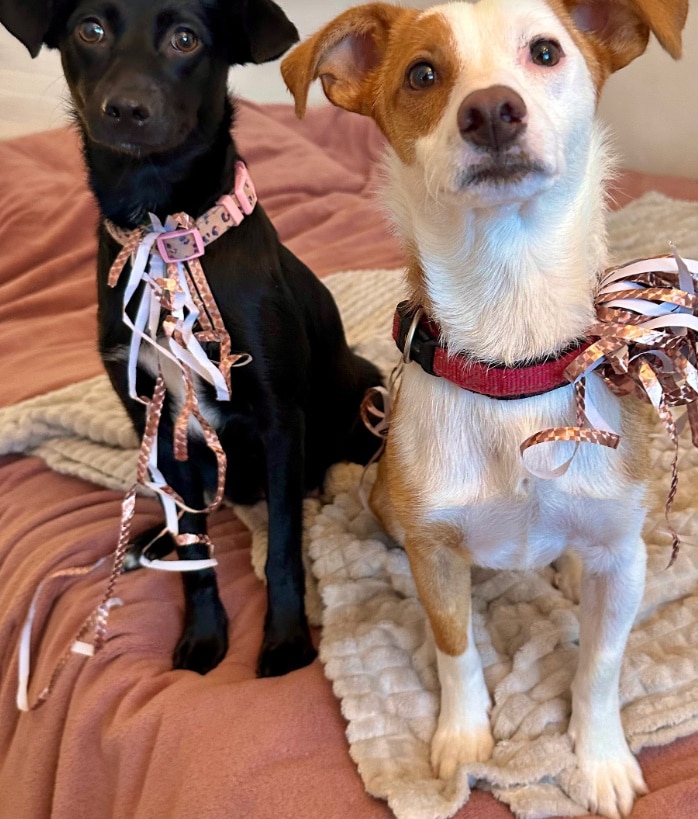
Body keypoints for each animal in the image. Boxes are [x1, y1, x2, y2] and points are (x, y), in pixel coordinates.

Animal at [0, 0, 380, 680]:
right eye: (90, 29)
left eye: (186, 39)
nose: (126, 108)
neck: (163, 233)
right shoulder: (154, 419)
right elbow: (192, 551)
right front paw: (203, 633)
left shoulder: (279, 420)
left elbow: (283, 547)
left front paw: (286, 640)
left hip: (362, 388)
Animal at [282, 3, 684, 816]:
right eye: (422, 74)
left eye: (546, 51)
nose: (492, 109)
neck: (512, 354)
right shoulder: (435, 552)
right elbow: (454, 647)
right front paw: (463, 737)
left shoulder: (623, 555)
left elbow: (600, 665)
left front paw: (600, 757)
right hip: (380, 495)